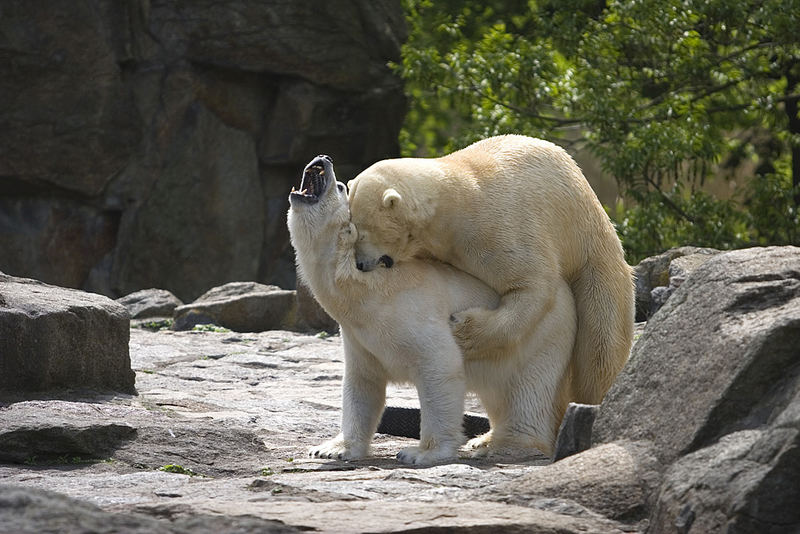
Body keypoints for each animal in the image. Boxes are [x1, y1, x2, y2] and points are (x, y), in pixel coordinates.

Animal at [288, 155, 576, 464]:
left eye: (339, 187)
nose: (324, 158)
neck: (366, 291)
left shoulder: (413, 311)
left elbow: (440, 368)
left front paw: (421, 453)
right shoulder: (359, 335)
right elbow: (362, 383)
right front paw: (332, 448)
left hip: (541, 333)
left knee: (528, 389)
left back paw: (505, 445)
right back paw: (485, 439)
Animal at [346, 135, 636, 406]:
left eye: (362, 231)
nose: (360, 264)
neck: (454, 203)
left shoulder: (496, 228)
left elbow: (532, 283)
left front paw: (462, 331)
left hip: (592, 255)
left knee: (600, 344)